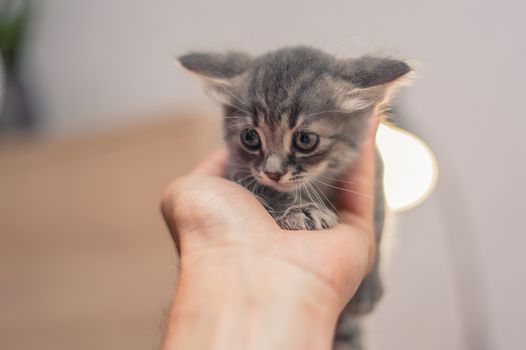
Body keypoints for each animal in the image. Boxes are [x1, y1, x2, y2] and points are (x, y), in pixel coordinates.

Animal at [179, 45, 414, 348]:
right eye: (250, 137)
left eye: (305, 140)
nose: (273, 172)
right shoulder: (239, 174)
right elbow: (269, 193)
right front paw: (301, 210)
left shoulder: (377, 178)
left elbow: (378, 226)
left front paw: (368, 287)